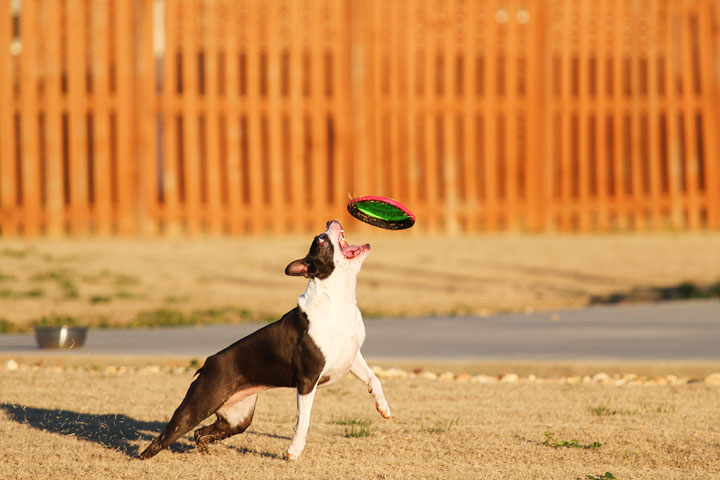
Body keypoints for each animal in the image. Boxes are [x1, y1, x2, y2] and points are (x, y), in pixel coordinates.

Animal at [138, 220, 390, 462]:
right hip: (198, 405)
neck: (338, 299)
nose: (331, 220)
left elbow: (374, 378)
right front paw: (294, 451)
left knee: (201, 433)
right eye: (321, 239)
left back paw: (203, 452)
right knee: (164, 437)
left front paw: (383, 407)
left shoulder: (351, 356)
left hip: (237, 418)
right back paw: (142, 458)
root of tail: (207, 364)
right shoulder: (308, 380)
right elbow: (304, 419)